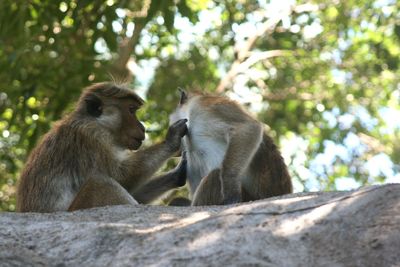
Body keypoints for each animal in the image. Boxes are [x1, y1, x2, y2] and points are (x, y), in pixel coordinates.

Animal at [16, 82, 188, 213]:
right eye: (131, 110)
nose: (143, 127)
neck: (99, 123)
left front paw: (179, 173)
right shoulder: (91, 137)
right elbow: (121, 176)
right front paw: (172, 140)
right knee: (100, 182)